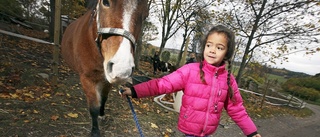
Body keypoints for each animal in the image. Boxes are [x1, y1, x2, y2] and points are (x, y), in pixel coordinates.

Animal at [61, 0, 149, 136]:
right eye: (105, 2)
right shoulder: (87, 79)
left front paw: (102, 114)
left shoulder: (108, 80)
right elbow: (93, 107)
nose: (122, 68)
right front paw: (95, 131)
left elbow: (104, 98)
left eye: (145, 15)